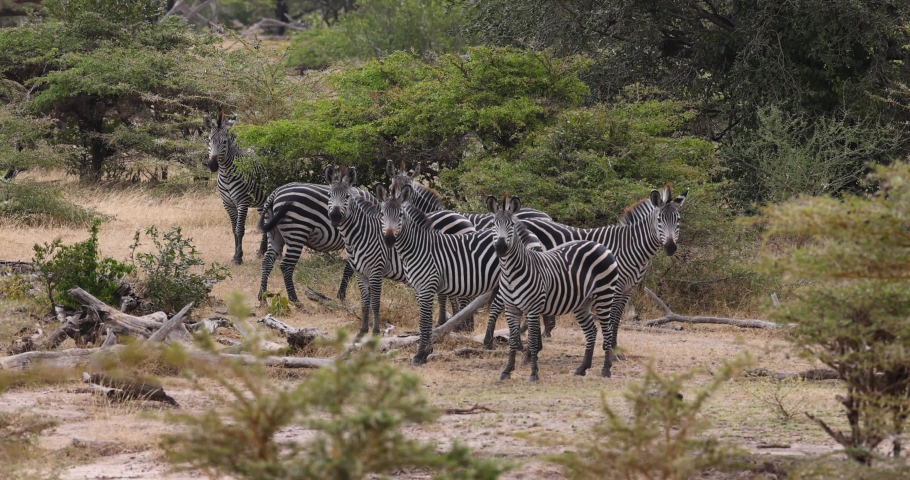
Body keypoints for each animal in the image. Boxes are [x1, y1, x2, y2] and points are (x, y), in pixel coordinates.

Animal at [204, 112, 269, 265]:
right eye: (209, 141)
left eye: (224, 142)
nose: (213, 166)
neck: (226, 174)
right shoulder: (227, 204)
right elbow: (233, 229)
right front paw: (235, 255)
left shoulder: (242, 202)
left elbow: (240, 229)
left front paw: (239, 257)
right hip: (261, 201)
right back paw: (261, 251)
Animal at [326, 165, 476, 336]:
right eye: (329, 195)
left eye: (347, 197)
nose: (335, 216)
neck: (360, 234)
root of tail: (467, 221)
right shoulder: (360, 273)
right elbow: (364, 302)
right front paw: (363, 330)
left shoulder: (376, 270)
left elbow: (375, 302)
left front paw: (375, 331)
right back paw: (456, 325)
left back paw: (463, 327)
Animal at [378, 183, 505, 365]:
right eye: (382, 214)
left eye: (400, 215)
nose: (389, 240)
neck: (417, 248)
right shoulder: (419, 288)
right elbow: (425, 321)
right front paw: (426, 351)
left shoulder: (427, 286)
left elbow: (424, 321)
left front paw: (420, 354)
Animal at [485, 185, 688, 354]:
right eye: (660, 220)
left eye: (678, 220)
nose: (671, 248)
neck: (630, 246)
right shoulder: (613, 286)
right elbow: (611, 316)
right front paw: (610, 346)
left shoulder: (627, 289)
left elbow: (618, 317)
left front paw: (614, 345)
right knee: (498, 304)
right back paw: (491, 341)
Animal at [487, 194, 620, 381]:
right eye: (493, 224)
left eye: (511, 225)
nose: (500, 247)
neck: (510, 272)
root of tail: (600, 245)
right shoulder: (511, 309)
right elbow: (513, 340)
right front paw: (507, 371)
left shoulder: (533, 308)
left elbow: (533, 341)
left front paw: (533, 373)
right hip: (582, 302)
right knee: (591, 331)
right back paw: (582, 368)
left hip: (604, 295)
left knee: (606, 331)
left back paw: (606, 370)